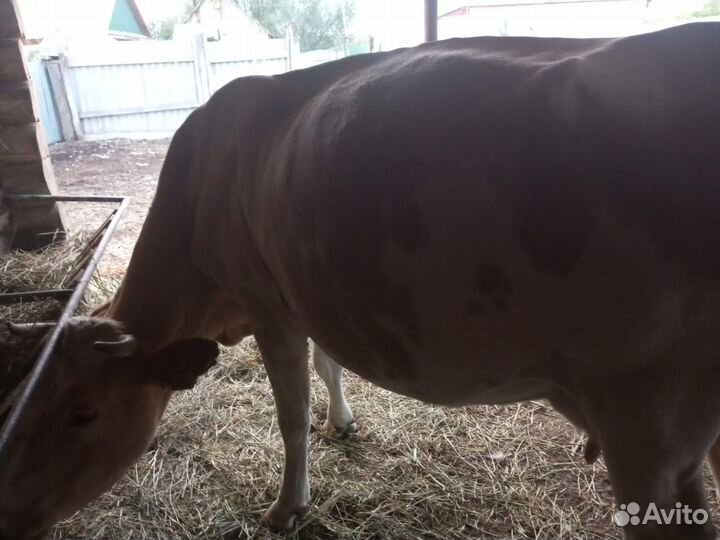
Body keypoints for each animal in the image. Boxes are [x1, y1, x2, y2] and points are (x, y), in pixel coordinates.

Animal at [1, 21, 719, 540]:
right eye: (21, 405)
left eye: (83, 412)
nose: (11, 514)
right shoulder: (306, 290)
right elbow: (330, 364)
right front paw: (342, 422)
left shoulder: (269, 304)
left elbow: (289, 414)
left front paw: (287, 507)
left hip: (645, 417)